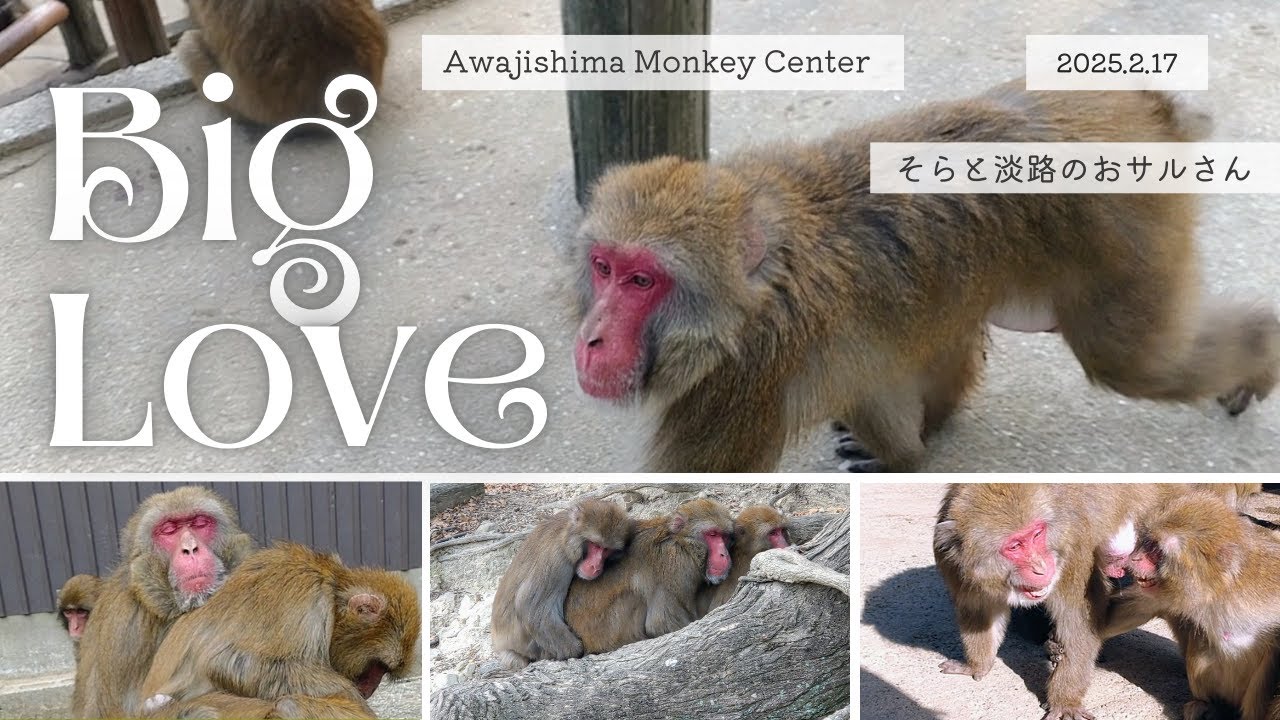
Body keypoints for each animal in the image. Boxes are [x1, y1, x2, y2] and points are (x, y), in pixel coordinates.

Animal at [139, 543, 419, 719]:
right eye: (377, 667)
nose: (370, 687)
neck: (331, 588)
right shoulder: (308, 601)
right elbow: (229, 661)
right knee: (288, 704)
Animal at [490, 498, 632, 669]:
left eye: (606, 550)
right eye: (595, 545)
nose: (595, 566)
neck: (566, 536)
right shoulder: (557, 561)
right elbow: (531, 608)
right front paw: (576, 650)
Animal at [563, 498, 733, 655]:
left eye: (724, 536)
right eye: (712, 534)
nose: (723, 554)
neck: (680, 541)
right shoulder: (676, 564)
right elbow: (661, 624)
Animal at [570, 78, 1280, 472]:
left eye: (642, 282)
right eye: (604, 268)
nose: (591, 339)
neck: (764, 277)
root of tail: (1149, 106)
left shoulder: (743, 380)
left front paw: (902, 456)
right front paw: (910, 444)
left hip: (1128, 226)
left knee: (1132, 362)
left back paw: (1263, 351)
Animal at [932, 483, 1262, 720]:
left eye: (1037, 534)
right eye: (1015, 545)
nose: (1041, 566)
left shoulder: (1071, 552)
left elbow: (1081, 628)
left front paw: (1064, 702)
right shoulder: (951, 557)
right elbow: (979, 613)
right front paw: (976, 665)